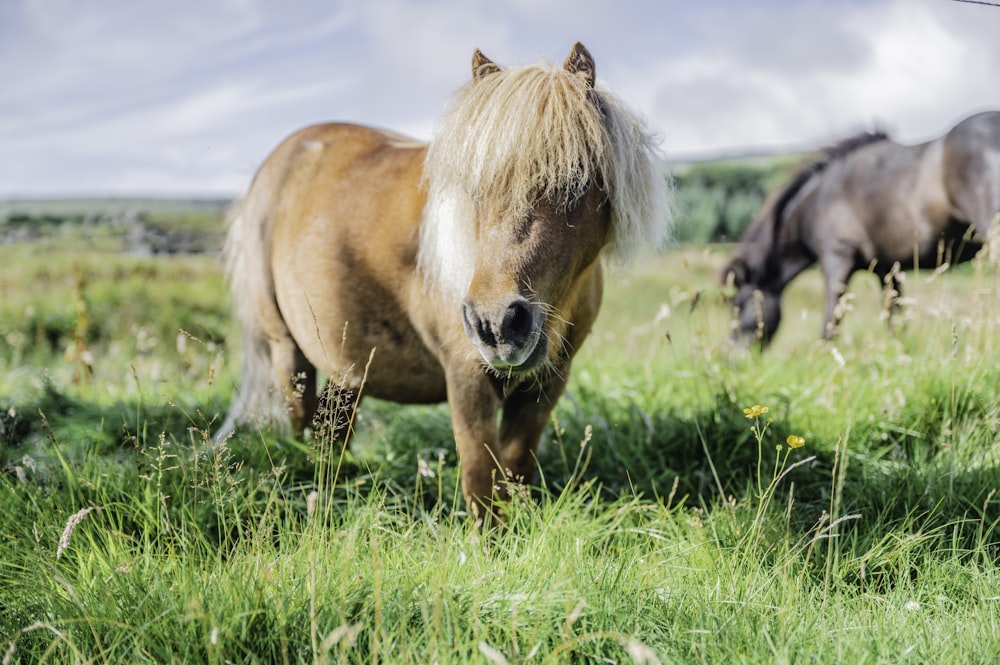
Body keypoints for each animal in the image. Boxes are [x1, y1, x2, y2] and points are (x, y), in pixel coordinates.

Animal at [219, 42, 672, 520]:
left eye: (576, 180)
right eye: (474, 190)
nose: (497, 324)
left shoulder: (548, 382)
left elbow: (514, 470)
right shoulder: (466, 376)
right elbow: (481, 482)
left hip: (346, 366)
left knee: (332, 432)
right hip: (287, 352)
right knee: (301, 423)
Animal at [720, 111, 1000, 344]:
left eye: (738, 306)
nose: (730, 359)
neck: (818, 201)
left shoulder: (837, 259)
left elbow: (830, 325)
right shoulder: (887, 270)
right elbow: (895, 318)